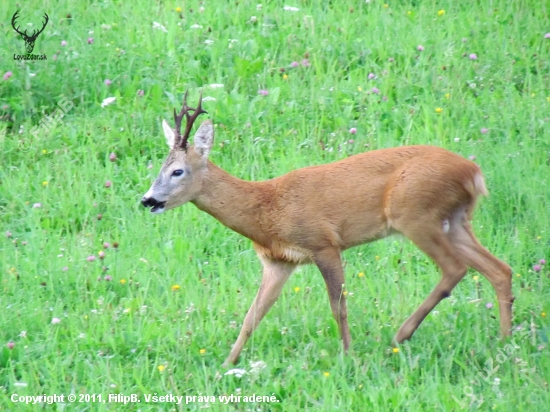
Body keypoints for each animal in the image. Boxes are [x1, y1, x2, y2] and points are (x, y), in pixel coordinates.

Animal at [143, 91, 516, 366]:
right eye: (160, 168)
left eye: (177, 171)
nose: (147, 200)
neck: (266, 208)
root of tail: (473, 172)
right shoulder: (279, 262)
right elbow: (252, 315)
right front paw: (227, 365)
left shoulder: (323, 243)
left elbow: (338, 306)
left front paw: (348, 357)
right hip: (454, 220)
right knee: (499, 269)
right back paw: (503, 340)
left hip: (416, 214)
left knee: (455, 268)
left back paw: (401, 334)